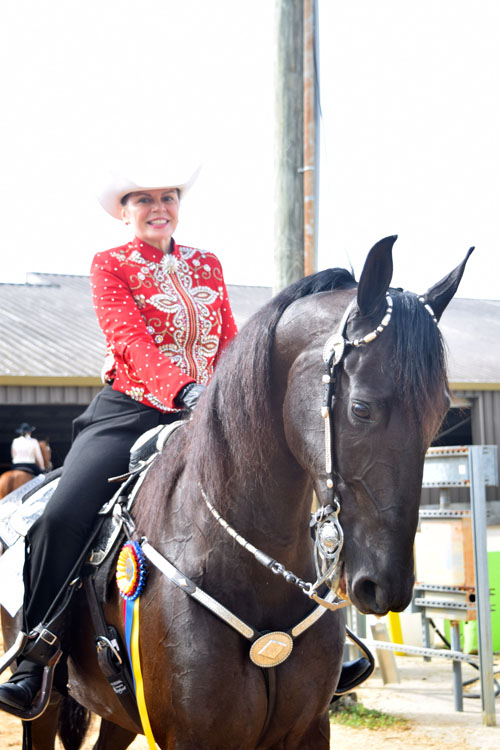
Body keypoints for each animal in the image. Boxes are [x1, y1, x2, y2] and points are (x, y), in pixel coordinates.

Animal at [0, 238, 472, 748]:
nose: (384, 585)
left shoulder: (309, 729)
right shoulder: (191, 736)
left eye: (440, 413)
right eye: (361, 408)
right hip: (44, 706)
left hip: (120, 715)